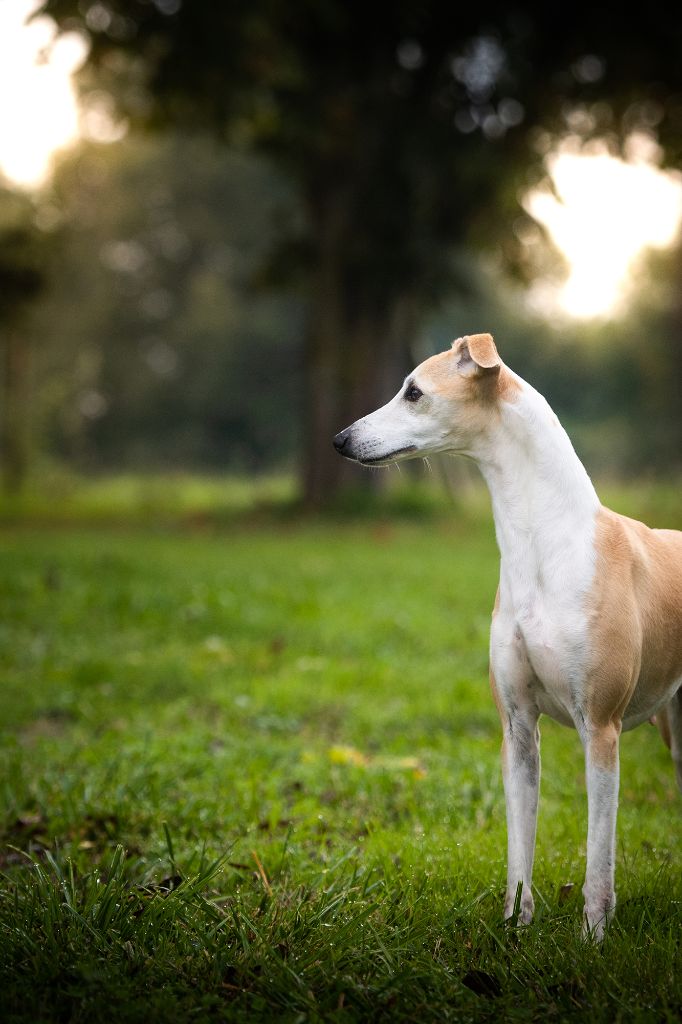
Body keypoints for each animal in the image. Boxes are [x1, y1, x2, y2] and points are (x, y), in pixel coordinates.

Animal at [333, 333, 679, 937]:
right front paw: (516, 929)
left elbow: (599, 860)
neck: (545, 542)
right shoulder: (517, 728)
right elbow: (520, 848)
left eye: (413, 392)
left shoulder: (601, 730)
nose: (340, 440)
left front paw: (593, 940)